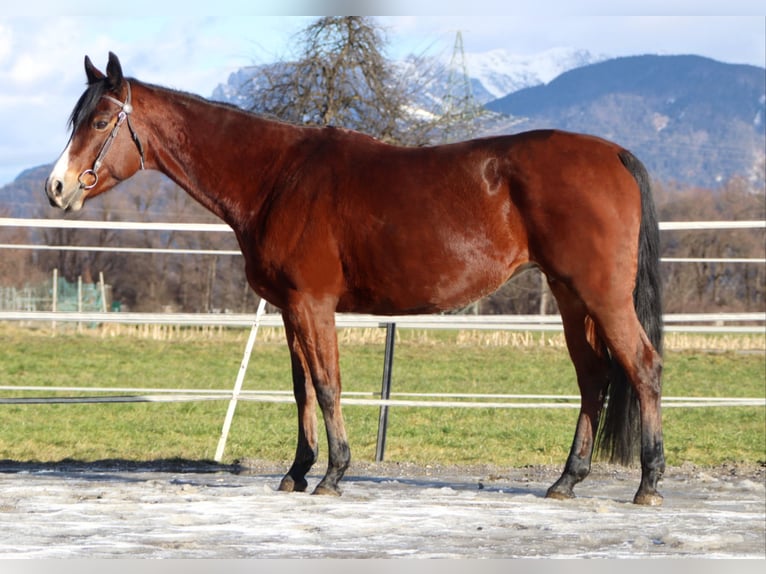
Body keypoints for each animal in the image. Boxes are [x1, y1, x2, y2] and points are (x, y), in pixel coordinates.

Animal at [45, 53, 664, 504]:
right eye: (75, 119)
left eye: (100, 120)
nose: (57, 187)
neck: (278, 177)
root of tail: (613, 153)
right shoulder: (291, 310)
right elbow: (300, 390)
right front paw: (297, 471)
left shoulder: (312, 304)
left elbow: (326, 385)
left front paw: (334, 473)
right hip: (570, 296)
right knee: (593, 378)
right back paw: (567, 480)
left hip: (601, 297)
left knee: (642, 368)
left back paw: (648, 483)